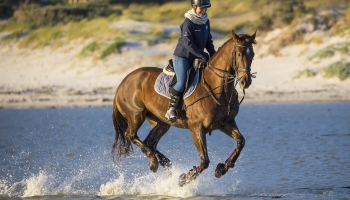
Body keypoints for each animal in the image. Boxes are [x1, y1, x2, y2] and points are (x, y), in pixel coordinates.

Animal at [112, 30, 258, 188]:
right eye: (239, 54)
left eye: (252, 54)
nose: (245, 81)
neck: (218, 88)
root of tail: (123, 82)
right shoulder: (196, 128)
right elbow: (204, 161)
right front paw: (184, 178)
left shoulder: (226, 123)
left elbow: (241, 142)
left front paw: (222, 168)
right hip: (136, 115)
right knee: (131, 135)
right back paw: (154, 162)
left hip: (161, 123)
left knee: (149, 142)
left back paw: (163, 163)